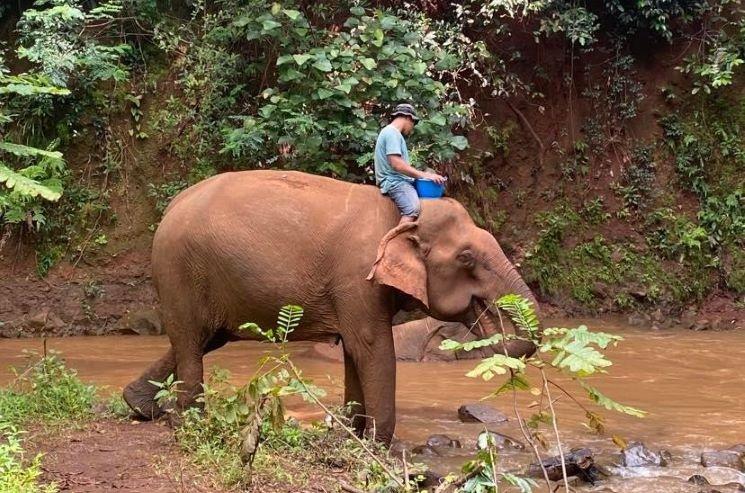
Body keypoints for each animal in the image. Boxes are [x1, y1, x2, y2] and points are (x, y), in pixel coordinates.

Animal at [123, 170, 540, 446]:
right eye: (466, 258)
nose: (486, 319)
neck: (403, 215)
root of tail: (171, 206)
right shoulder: (357, 278)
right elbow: (372, 347)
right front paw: (378, 445)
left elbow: (355, 351)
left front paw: (353, 434)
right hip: (179, 270)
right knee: (190, 341)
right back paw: (189, 424)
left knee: (203, 339)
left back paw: (140, 407)